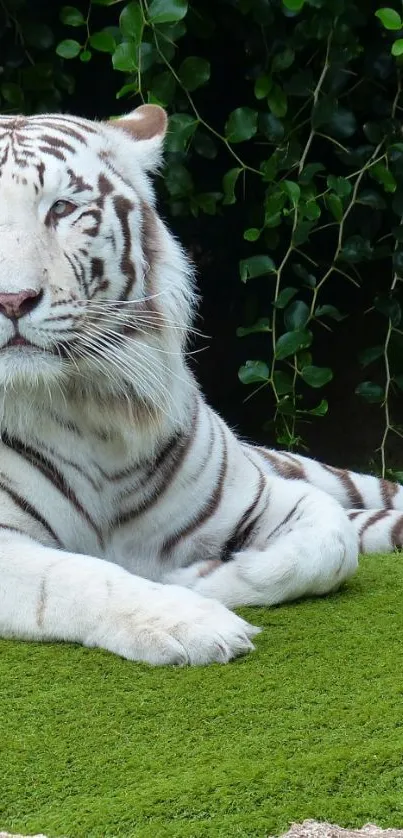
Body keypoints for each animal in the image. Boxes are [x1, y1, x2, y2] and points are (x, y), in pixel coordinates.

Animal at [0, 105, 400, 668]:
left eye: (61, 208)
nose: (11, 300)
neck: (92, 411)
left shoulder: (258, 495)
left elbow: (331, 543)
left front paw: (194, 579)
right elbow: (79, 575)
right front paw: (188, 619)